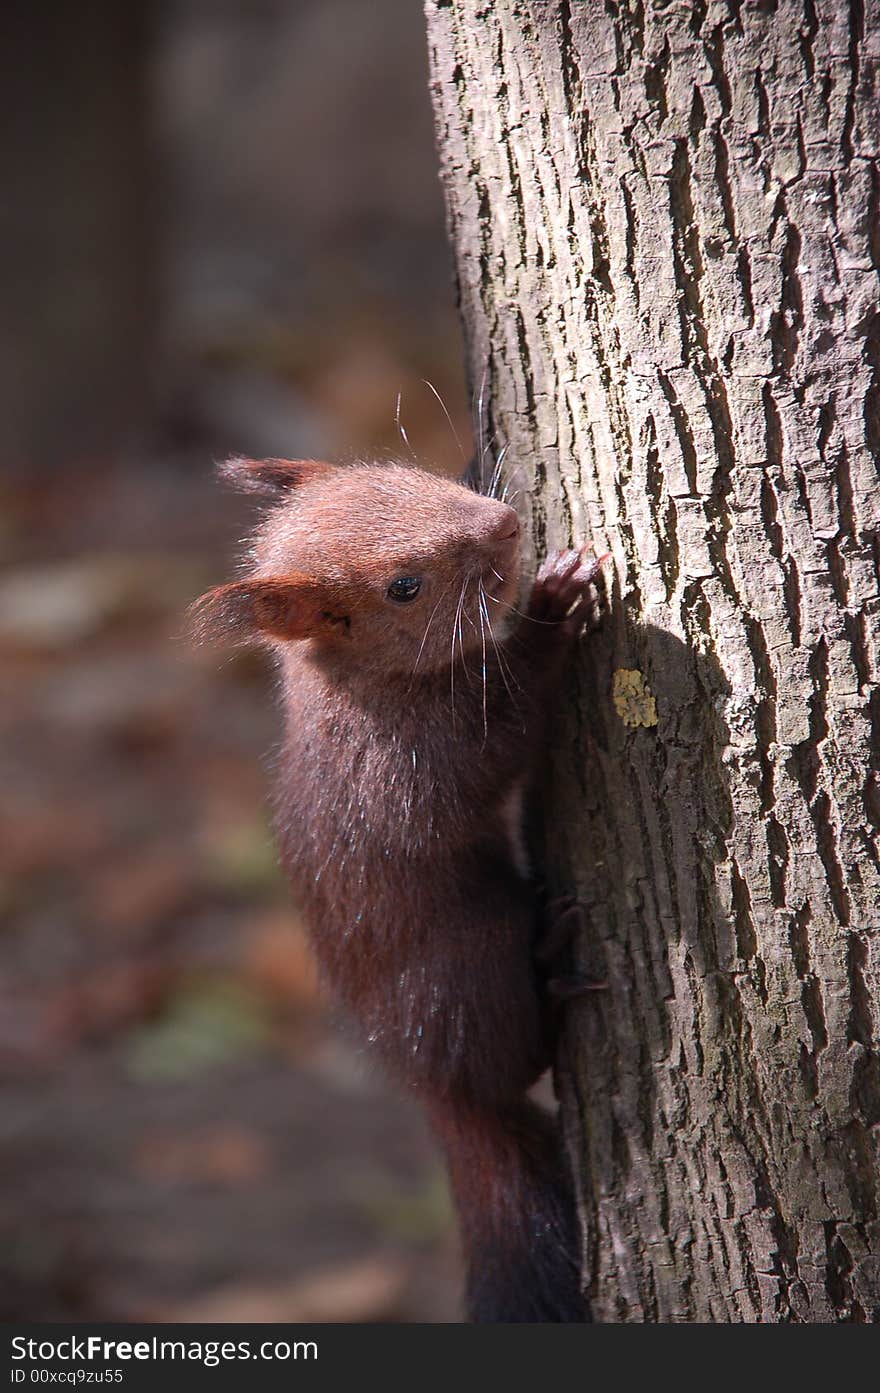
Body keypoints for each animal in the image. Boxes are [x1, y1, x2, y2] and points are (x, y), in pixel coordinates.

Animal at [192, 454, 604, 1314]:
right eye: (404, 587)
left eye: (405, 469)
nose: (503, 524)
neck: (356, 683)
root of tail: (434, 1090)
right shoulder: (406, 761)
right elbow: (493, 748)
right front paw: (552, 608)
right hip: (467, 967)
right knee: (513, 1055)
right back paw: (552, 971)